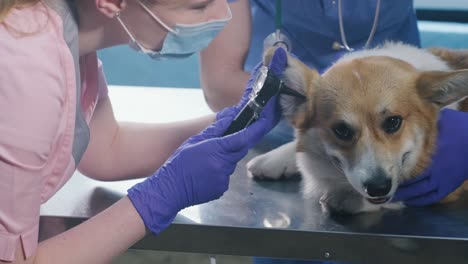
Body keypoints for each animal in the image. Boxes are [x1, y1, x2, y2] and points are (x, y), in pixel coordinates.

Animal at [249, 41, 468, 214]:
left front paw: (347, 199)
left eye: (393, 122)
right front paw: (272, 159)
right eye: (341, 130)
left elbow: (400, 197)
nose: (378, 187)